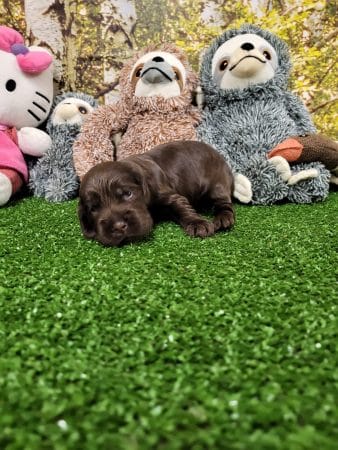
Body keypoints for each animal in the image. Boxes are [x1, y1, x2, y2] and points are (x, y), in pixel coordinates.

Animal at [78, 141, 235, 246]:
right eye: (93, 208)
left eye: (128, 193)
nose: (119, 226)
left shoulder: (166, 193)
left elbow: (181, 206)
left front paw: (198, 224)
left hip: (217, 183)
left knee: (224, 203)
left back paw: (223, 218)